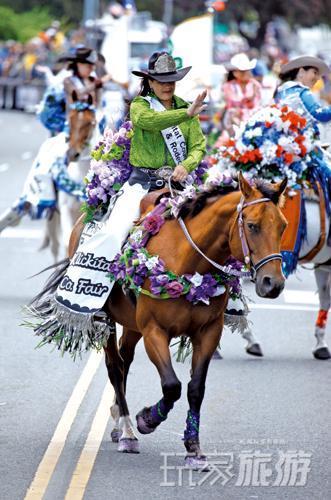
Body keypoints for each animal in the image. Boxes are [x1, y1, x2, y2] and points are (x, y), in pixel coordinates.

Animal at [67, 174, 288, 466]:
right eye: (252, 225)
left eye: (283, 226)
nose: (273, 283)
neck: (189, 263)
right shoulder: (154, 331)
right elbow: (172, 386)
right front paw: (146, 420)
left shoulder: (208, 332)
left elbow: (195, 388)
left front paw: (193, 447)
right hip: (107, 322)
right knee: (115, 367)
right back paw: (127, 432)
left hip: (132, 325)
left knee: (125, 361)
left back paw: (118, 423)